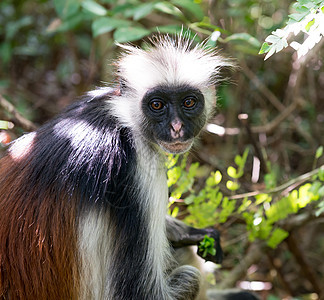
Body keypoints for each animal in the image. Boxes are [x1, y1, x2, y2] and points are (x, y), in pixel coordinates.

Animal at [0, 36, 230, 298]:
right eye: (157, 105)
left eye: (189, 102)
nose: (176, 128)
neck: (119, 119)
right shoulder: (139, 163)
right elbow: (139, 293)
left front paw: (195, 234)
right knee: (190, 276)